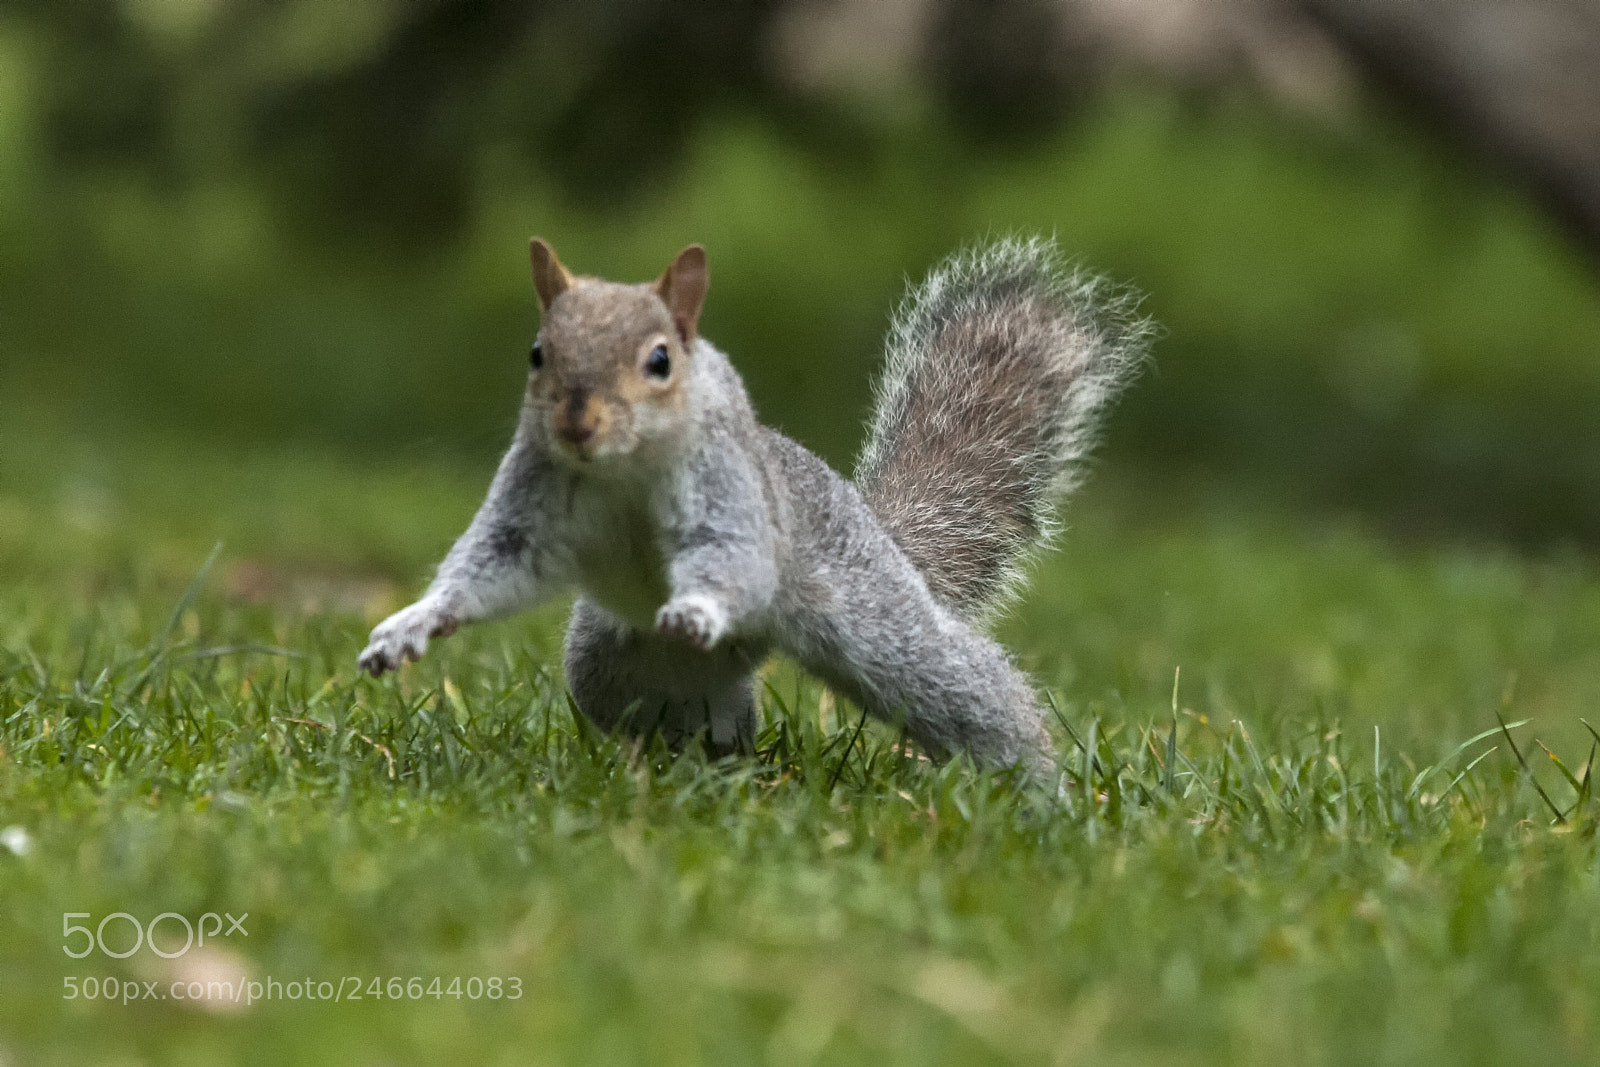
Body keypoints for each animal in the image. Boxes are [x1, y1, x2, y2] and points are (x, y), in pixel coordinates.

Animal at [357, 236, 1149, 772]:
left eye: (660, 360)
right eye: (537, 353)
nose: (578, 423)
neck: (622, 468)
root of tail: (872, 528)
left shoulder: (728, 494)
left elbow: (727, 556)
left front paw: (697, 607)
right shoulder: (532, 499)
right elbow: (492, 564)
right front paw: (410, 625)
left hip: (870, 621)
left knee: (960, 685)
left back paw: (1039, 789)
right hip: (610, 661)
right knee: (691, 711)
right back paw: (705, 760)